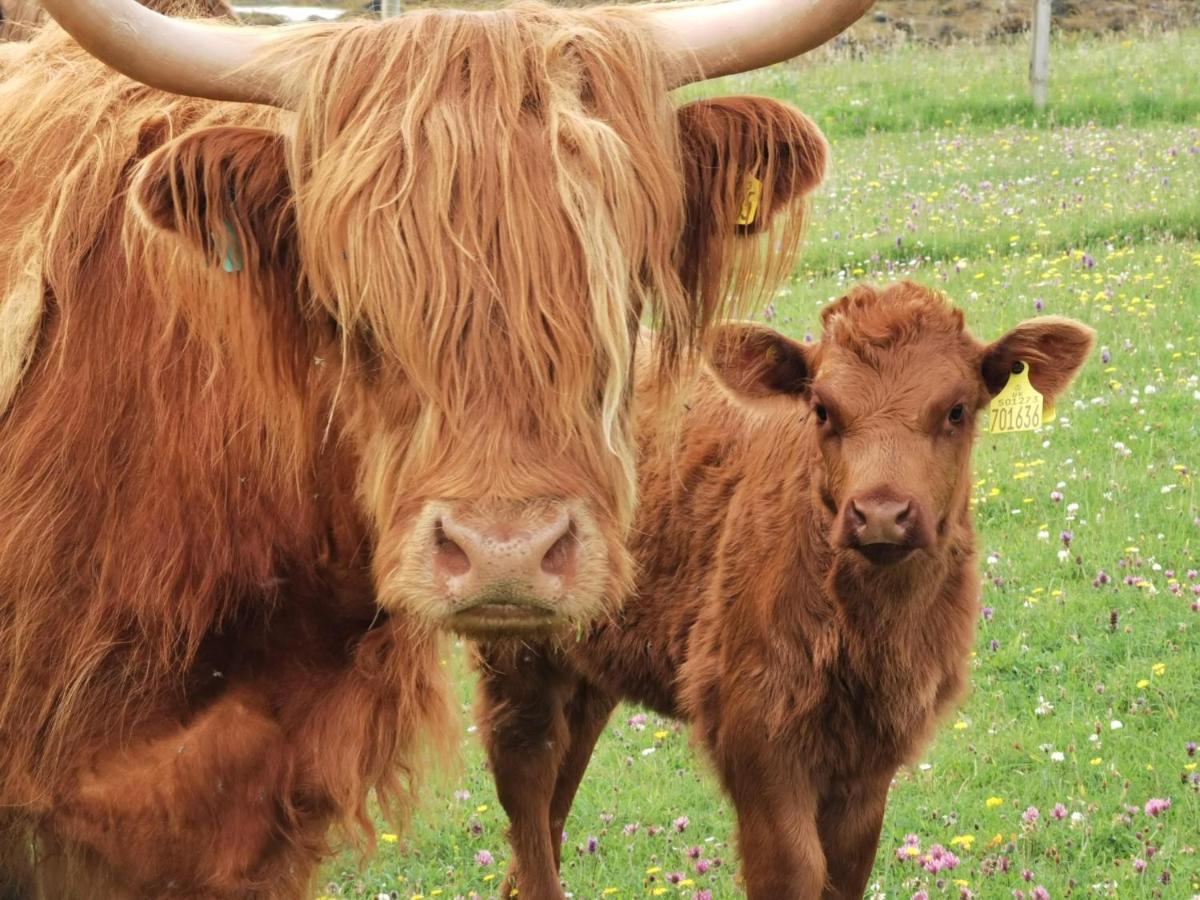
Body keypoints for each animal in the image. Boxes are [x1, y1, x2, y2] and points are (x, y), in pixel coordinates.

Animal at [472, 283, 1094, 900]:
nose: (881, 514)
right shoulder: (756, 736)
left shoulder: (872, 758)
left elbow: (845, 870)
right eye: (822, 410)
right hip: (513, 643)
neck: (869, 633)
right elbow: (794, 869)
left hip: (589, 660)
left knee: (557, 790)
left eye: (957, 410)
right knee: (527, 783)